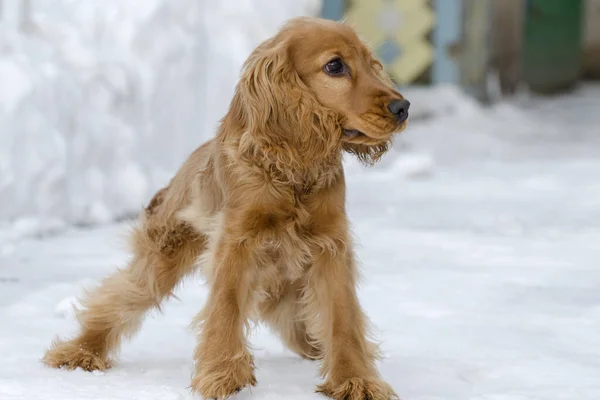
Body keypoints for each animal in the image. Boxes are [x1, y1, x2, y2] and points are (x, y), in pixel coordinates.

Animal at [41, 16, 408, 400]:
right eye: (335, 66)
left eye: (372, 63)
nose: (403, 108)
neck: (291, 175)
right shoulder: (237, 243)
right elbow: (226, 307)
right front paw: (222, 373)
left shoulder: (330, 246)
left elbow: (342, 317)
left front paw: (356, 379)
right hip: (163, 257)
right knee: (120, 296)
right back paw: (80, 352)